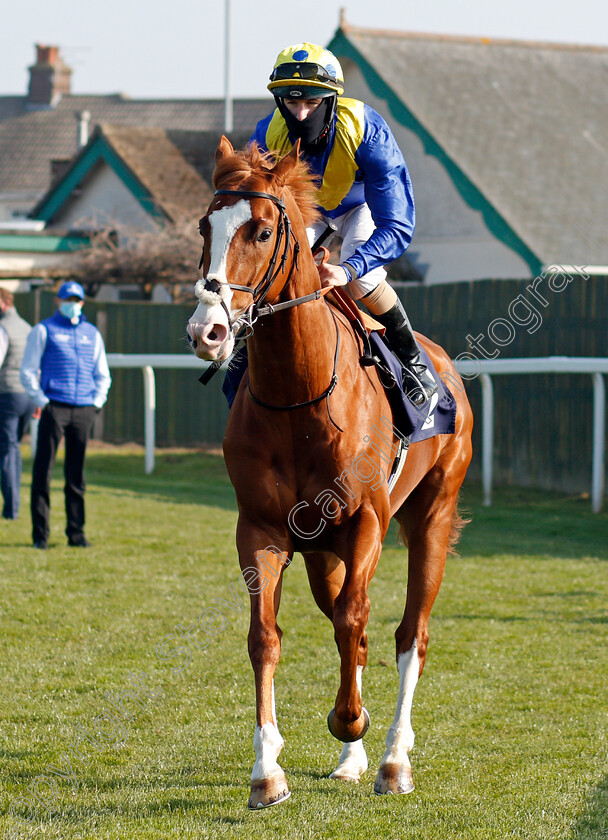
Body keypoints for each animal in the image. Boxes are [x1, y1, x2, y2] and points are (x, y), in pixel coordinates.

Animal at [188, 136, 472, 808]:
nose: (207, 330)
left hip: (431, 517)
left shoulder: (367, 521)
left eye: (263, 231)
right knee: (349, 622)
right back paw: (354, 760)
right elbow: (266, 637)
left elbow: (355, 622)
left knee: (408, 635)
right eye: (204, 228)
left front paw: (350, 722)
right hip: (322, 553)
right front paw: (268, 770)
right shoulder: (261, 529)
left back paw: (392, 758)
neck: (300, 396)